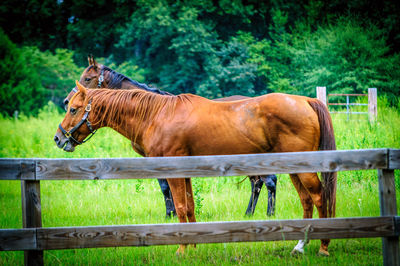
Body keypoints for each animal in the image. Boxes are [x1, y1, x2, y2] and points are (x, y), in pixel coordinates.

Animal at [54, 80, 338, 255]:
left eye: (74, 108)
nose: (58, 139)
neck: (156, 115)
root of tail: (306, 101)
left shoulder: (173, 171)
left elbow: (179, 208)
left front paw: (182, 248)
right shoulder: (186, 172)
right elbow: (189, 207)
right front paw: (192, 246)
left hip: (303, 169)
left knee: (318, 197)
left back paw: (323, 246)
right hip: (294, 168)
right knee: (306, 200)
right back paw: (299, 246)